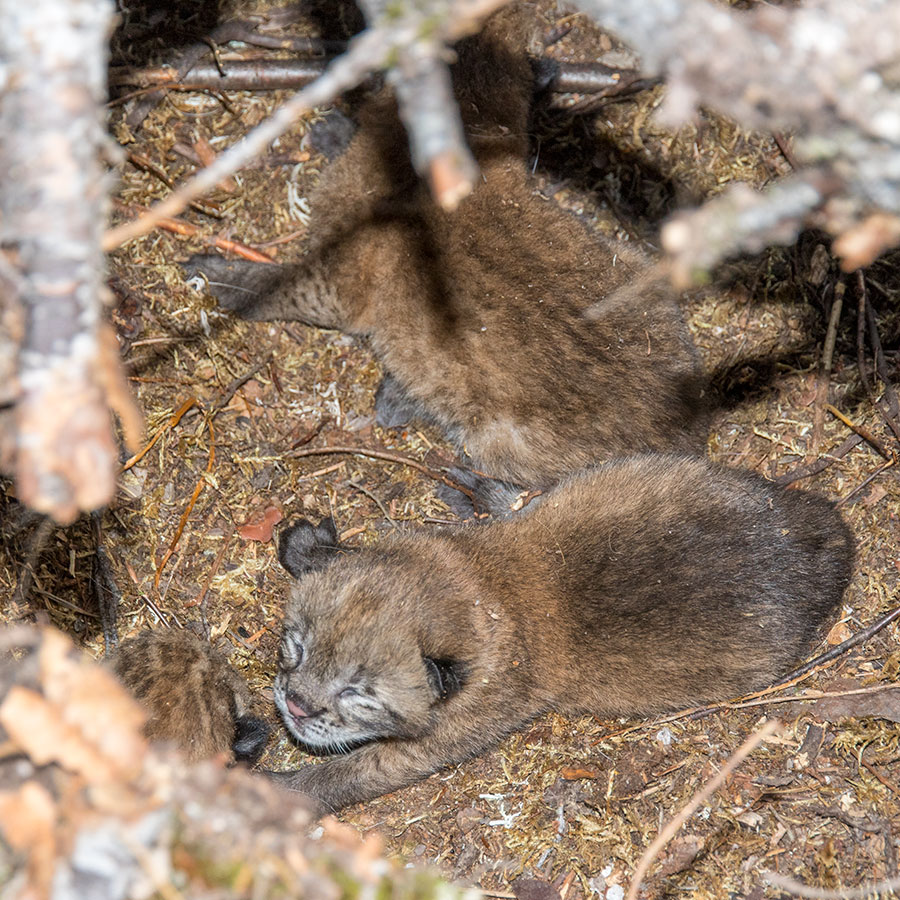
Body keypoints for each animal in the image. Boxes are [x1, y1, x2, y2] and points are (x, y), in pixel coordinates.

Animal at [185, 5, 712, 512]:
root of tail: (689, 440)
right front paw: (339, 131)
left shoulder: (340, 280)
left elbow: (281, 287)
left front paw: (223, 281)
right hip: (638, 269)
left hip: (501, 440)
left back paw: (466, 485)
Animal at [266, 458, 852, 816]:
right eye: (295, 648)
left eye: (357, 694)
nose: (294, 706)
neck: (484, 593)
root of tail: (828, 537)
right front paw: (310, 549)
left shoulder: (442, 735)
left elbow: (348, 773)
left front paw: (277, 788)